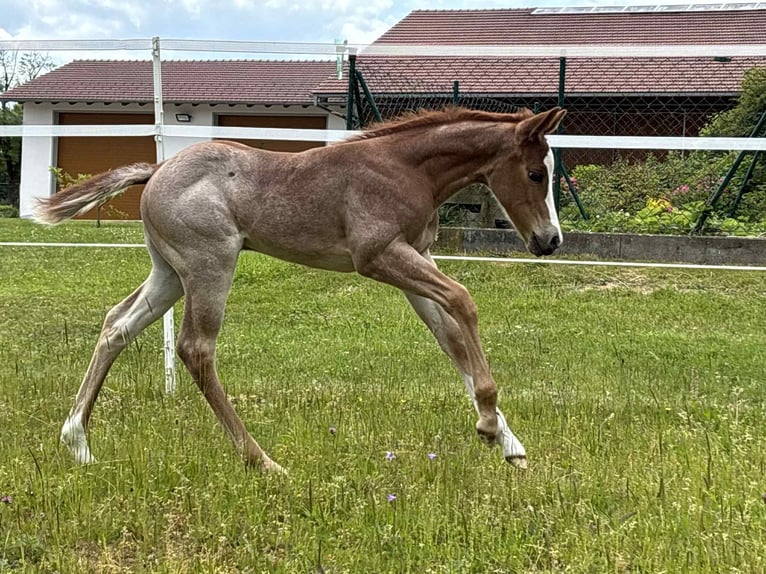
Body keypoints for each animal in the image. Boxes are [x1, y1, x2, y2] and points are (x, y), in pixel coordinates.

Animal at [36, 106, 566, 473]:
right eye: (536, 173)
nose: (550, 241)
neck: (406, 168)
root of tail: (156, 171)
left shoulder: (416, 258)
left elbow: (450, 337)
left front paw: (510, 444)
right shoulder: (378, 257)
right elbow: (463, 301)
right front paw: (488, 425)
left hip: (169, 273)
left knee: (117, 325)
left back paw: (77, 442)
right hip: (210, 266)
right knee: (195, 347)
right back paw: (262, 461)